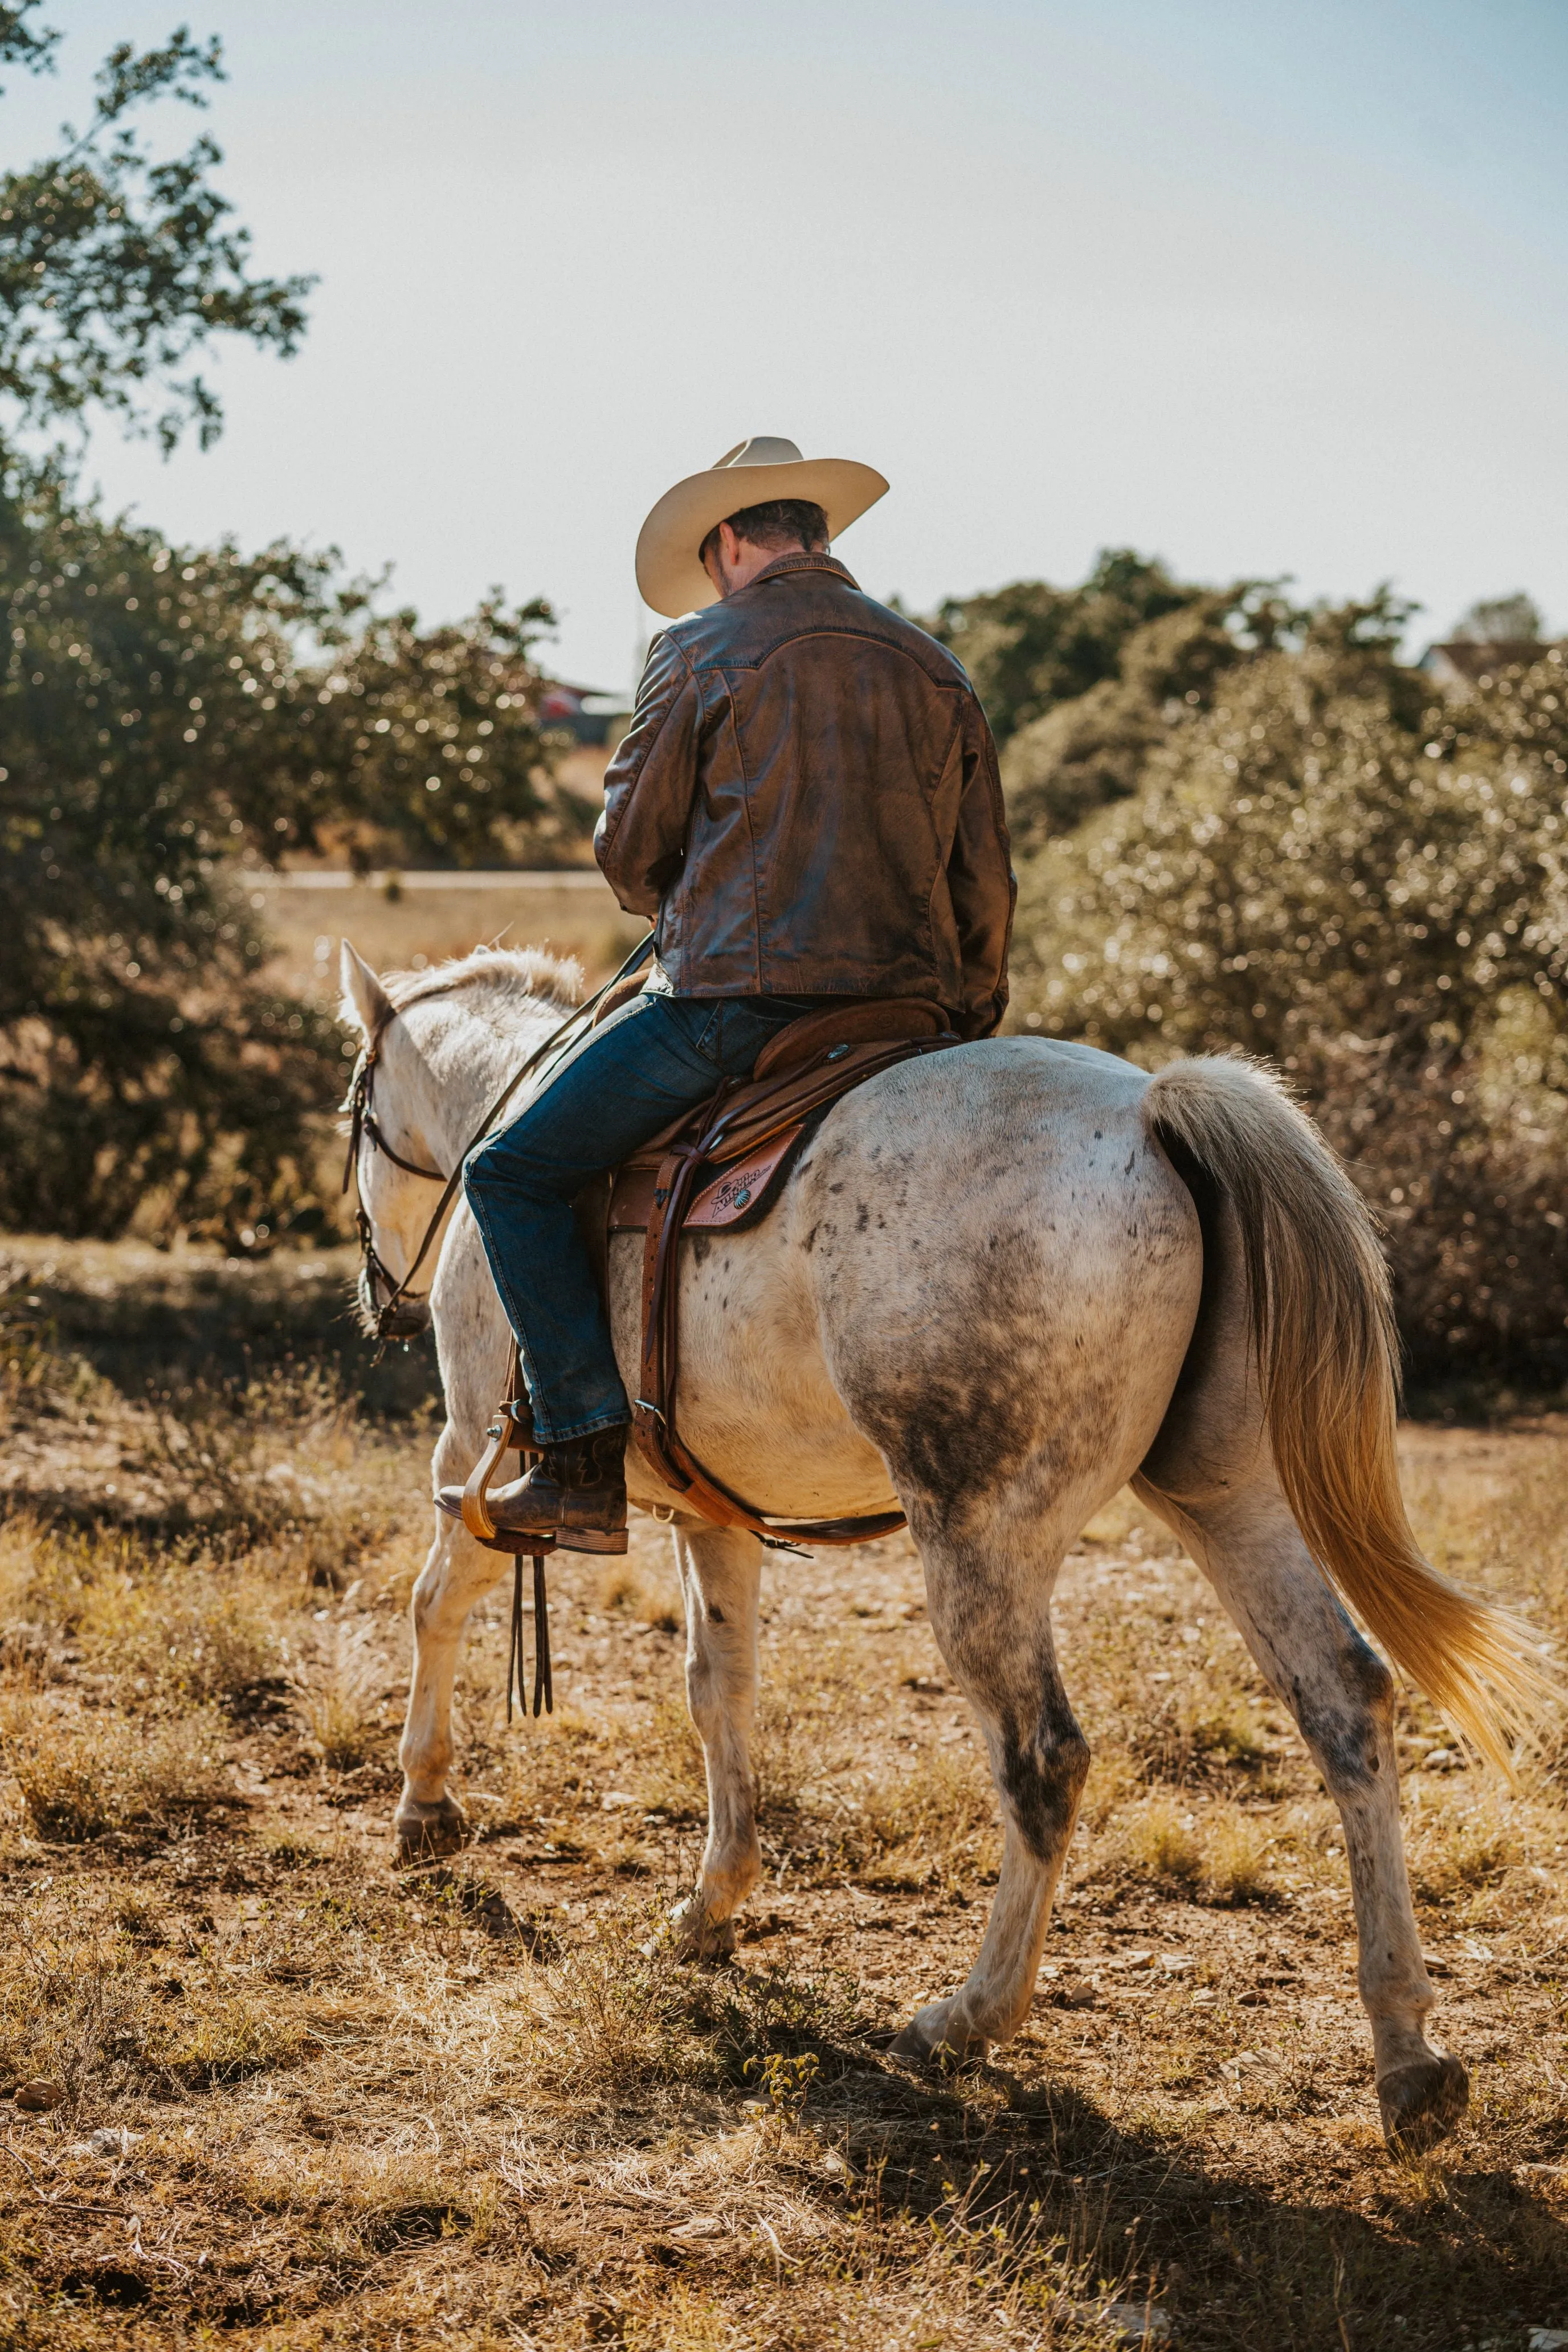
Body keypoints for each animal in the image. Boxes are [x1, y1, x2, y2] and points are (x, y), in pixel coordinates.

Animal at [338, 941, 1551, 2154]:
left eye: (355, 1114)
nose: (378, 1300)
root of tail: (1149, 1113)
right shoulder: (711, 1516)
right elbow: (718, 1690)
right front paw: (707, 1906)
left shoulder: (475, 1459)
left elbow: (434, 1602)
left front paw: (424, 1807)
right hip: (1230, 1496)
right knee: (1342, 1699)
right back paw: (1408, 2052)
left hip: (980, 1541)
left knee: (1044, 1760)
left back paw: (967, 2016)